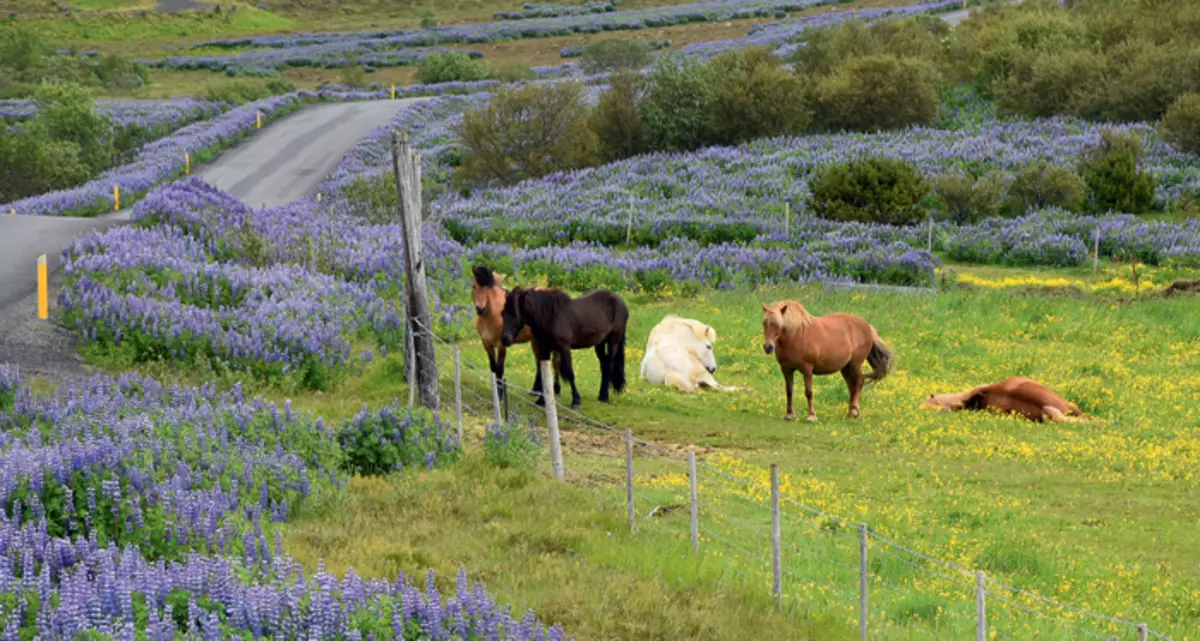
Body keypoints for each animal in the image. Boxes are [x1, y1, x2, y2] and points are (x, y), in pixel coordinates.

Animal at [470, 267, 559, 410]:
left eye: (488, 287)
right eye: (474, 286)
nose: (480, 309)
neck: (492, 315)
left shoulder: (501, 345)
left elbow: (499, 369)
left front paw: (500, 395)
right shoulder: (487, 344)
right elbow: (493, 368)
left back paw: (554, 390)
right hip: (535, 341)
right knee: (539, 362)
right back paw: (535, 391)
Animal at [496, 288, 628, 410]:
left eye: (515, 314)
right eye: (502, 313)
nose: (504, 339)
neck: (551, 316)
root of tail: (620, 301)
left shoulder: (564, 348)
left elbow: (570, 373)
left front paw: (576, 400)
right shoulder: (544, 350)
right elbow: (545, 374)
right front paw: (542, 400)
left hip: (614, 339)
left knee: (609, 364)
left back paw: (605, 396)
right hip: (600, 343)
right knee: (604, 366)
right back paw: (601, 395)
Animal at [758, 300, 892, 424]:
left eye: (777, 324)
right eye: (764, 323)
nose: (768, 347)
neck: (796, 334)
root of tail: (868, 327)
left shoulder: (807, 368)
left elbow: (808, 392)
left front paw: (811, 416)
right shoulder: (786, 369)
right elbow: (789, 391)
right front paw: (789, 415)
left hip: (855, 364)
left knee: (859, 382)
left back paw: (853, 411)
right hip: (846, 367)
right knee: (852, 386)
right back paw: (852, 412)